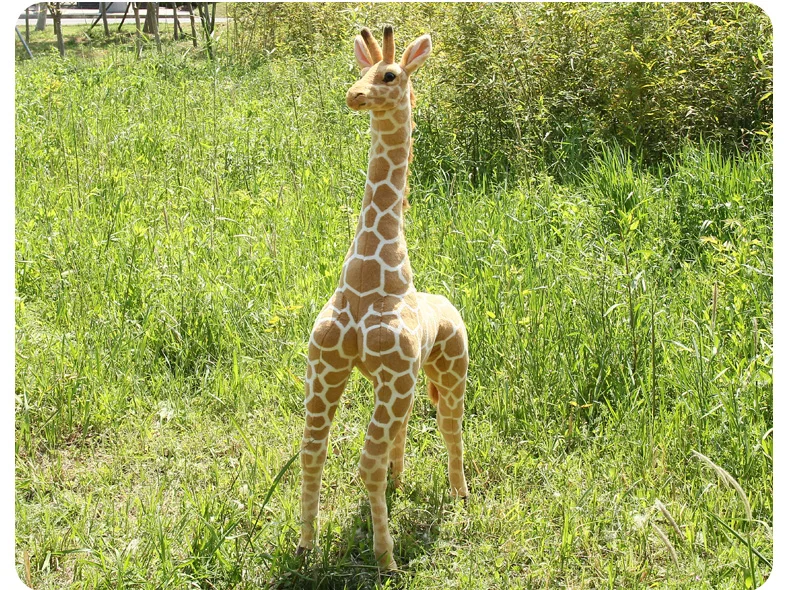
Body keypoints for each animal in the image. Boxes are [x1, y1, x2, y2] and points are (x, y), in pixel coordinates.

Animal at [296, 26, 469, 570]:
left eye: (389, 75)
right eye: (360, 69)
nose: (355, 95)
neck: (368, 276)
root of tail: (450, 305)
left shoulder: (388, 371)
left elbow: (360, 464)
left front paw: (385, 556)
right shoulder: (328, 365)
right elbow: (315, 452)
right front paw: (310, 544)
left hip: (450, 368)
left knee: (448, 425)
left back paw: (457, 497)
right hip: (400, 381)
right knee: (389, 436)